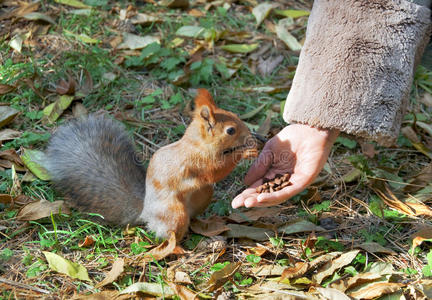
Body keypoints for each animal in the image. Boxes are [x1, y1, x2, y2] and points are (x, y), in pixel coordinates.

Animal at [44, 89, 258, 241]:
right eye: (230, 130)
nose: (250, 135)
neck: (196, 144)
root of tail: (145, 211)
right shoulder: (197, 162)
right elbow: (215, 170)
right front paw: (247, 152)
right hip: (174, 212)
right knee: (171, 234)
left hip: (203, 195)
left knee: (192, 219)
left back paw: (208, 223)